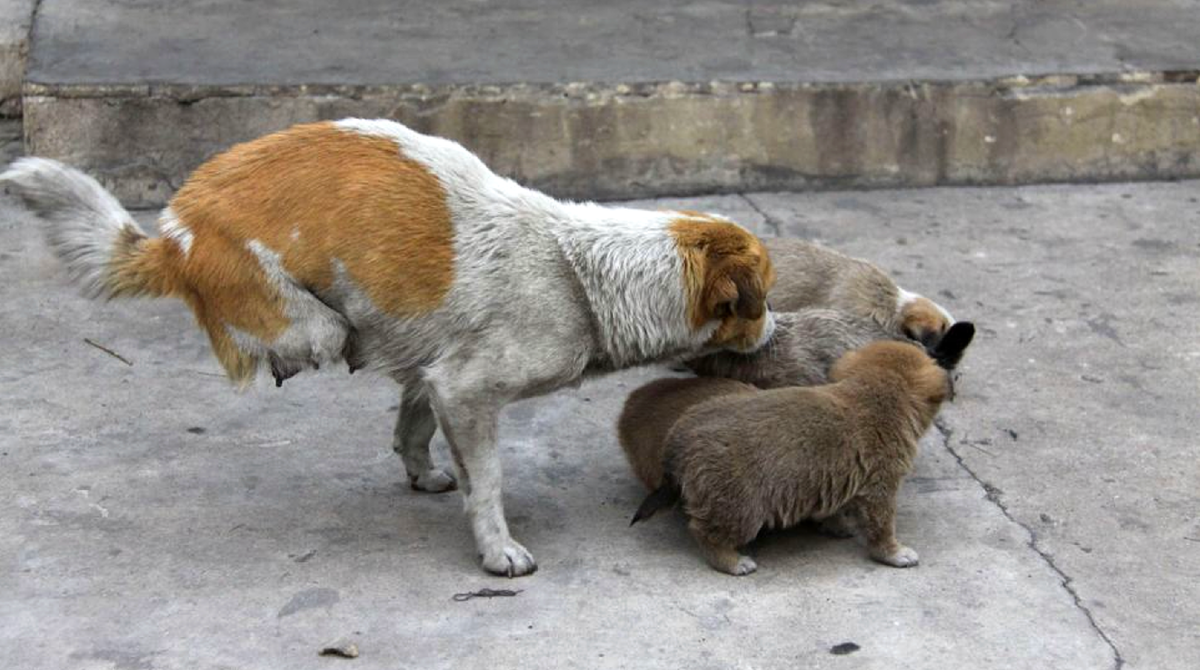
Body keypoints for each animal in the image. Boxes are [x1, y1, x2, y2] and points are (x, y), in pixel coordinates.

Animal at [2, 119, 777, 578]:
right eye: (762, 299)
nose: (777, 330)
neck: (578, 272)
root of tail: (175, 236)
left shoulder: (436, 372)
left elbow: (412, 424)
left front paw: (425, 473)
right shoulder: (470, 389)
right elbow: (488, 482)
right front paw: (497, 550)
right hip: (305, 319)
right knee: (314, 336)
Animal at [628, 326, 974, 578]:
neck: (874, 391)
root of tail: (679, 439)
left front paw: (838, 527)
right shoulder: (881, 486)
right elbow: (881, 527)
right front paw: (895, 553)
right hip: (741, 507)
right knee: (704, 532)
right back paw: (733, 562)